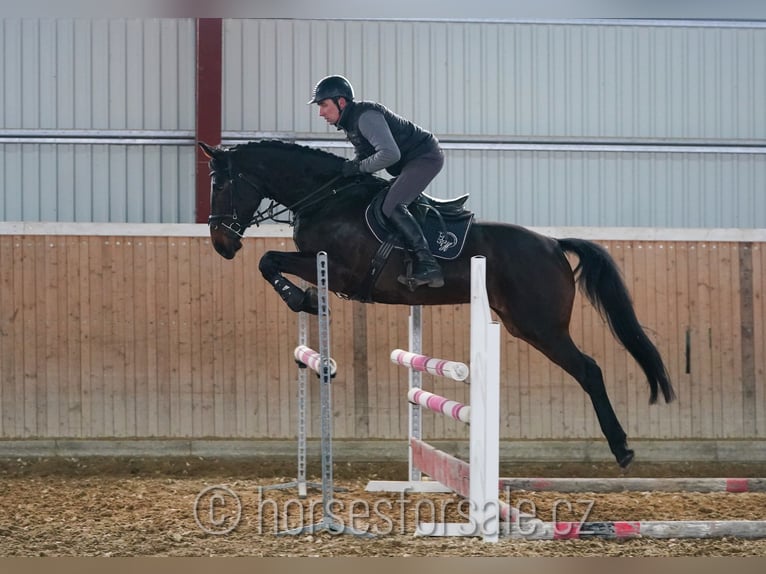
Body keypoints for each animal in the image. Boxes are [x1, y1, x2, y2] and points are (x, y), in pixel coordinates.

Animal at [200, 137, 680, 470]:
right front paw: (305, 299)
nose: (221, 244)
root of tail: (553, 244)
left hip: (541, 327)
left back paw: (622, 449)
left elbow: (267, 259)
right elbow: (269, 261)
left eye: (222, 183)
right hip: (522, 324)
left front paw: (303, 299)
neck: (326, 197)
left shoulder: (341, 269)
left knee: (589, 370)